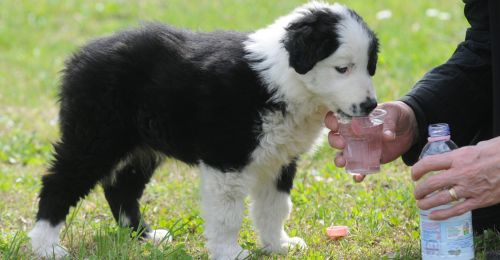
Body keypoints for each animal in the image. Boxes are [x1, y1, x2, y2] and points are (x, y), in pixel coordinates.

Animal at [29, 1, 376, 258]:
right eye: (342, 68)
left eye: (370, 67)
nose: (371, 105)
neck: (281, 80)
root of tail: (79, 58)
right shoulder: (227, 160)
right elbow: (227, 215)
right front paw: (230, 252)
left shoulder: (279, 159)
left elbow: (274, 207)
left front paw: (278, 245)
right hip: (95, 137)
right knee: (59, 182)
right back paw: (46, 246)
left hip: (142, 147)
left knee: (121, 188)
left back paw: (144, 236)